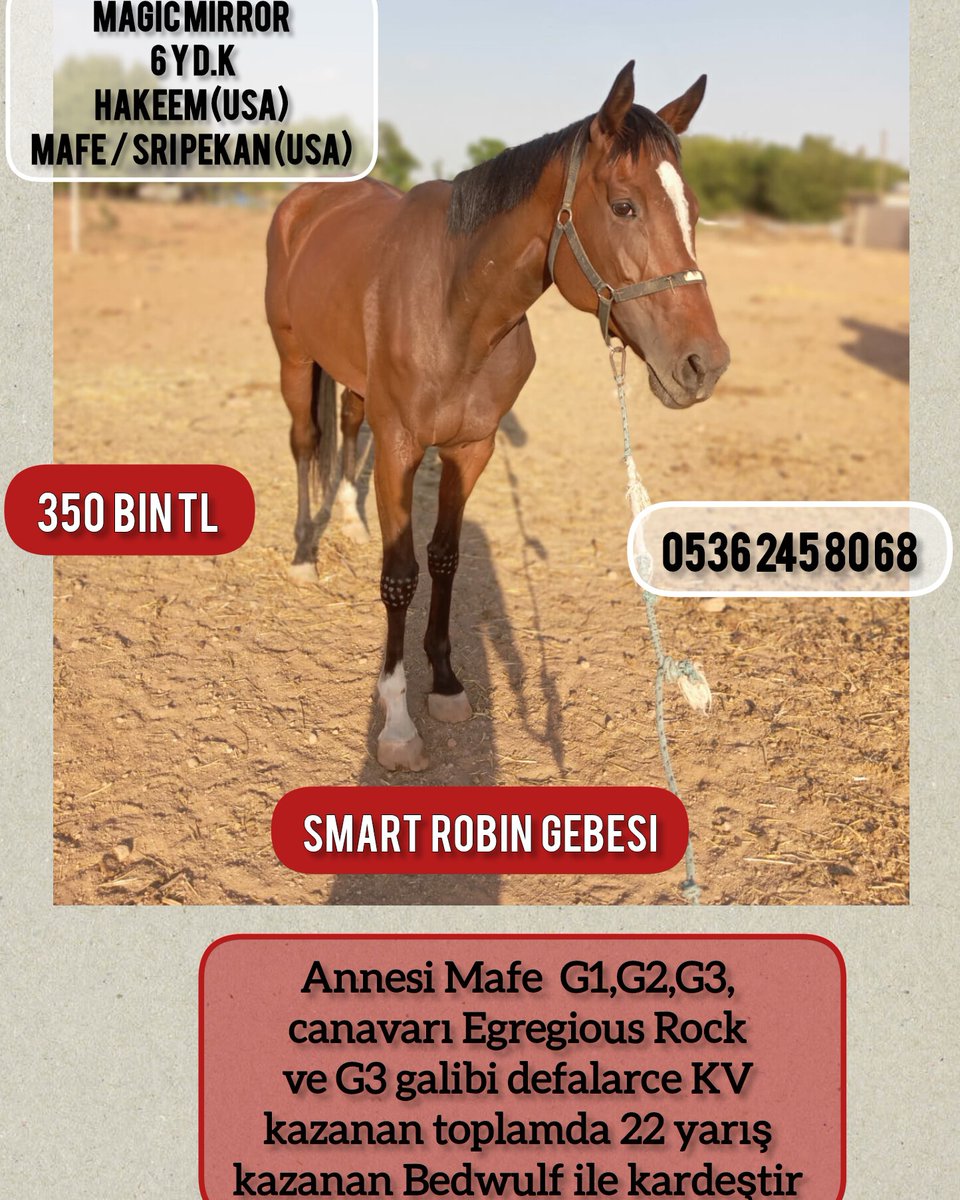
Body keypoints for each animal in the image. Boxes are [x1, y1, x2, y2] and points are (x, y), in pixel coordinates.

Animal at [265, 61, 730, 772]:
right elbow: (400, 577)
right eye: (624, 206)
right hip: (293, 355)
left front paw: (446, 683)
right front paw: (397, 722)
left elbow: (446, 558)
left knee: (345, 421)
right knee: (304, 438)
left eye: (695, 212)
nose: (704, 364)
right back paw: (303, 551)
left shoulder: (470, 447)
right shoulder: (400, 447)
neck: (455, 304)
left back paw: (348, 518)